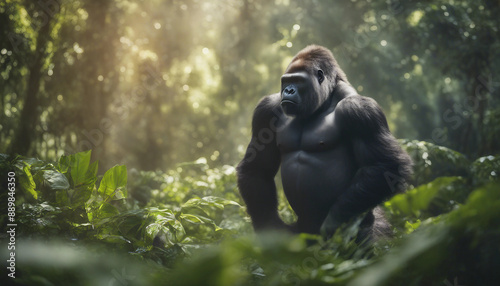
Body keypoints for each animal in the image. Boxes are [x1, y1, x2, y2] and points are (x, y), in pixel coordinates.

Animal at [236, 45, 412, 241]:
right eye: (286, 81)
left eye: (298, 80)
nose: (288, 91)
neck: (324, 101)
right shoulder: (266, 110)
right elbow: (257, 168)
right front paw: (270, 228)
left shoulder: (361, 109)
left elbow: (386, 165)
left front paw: (333, 224)